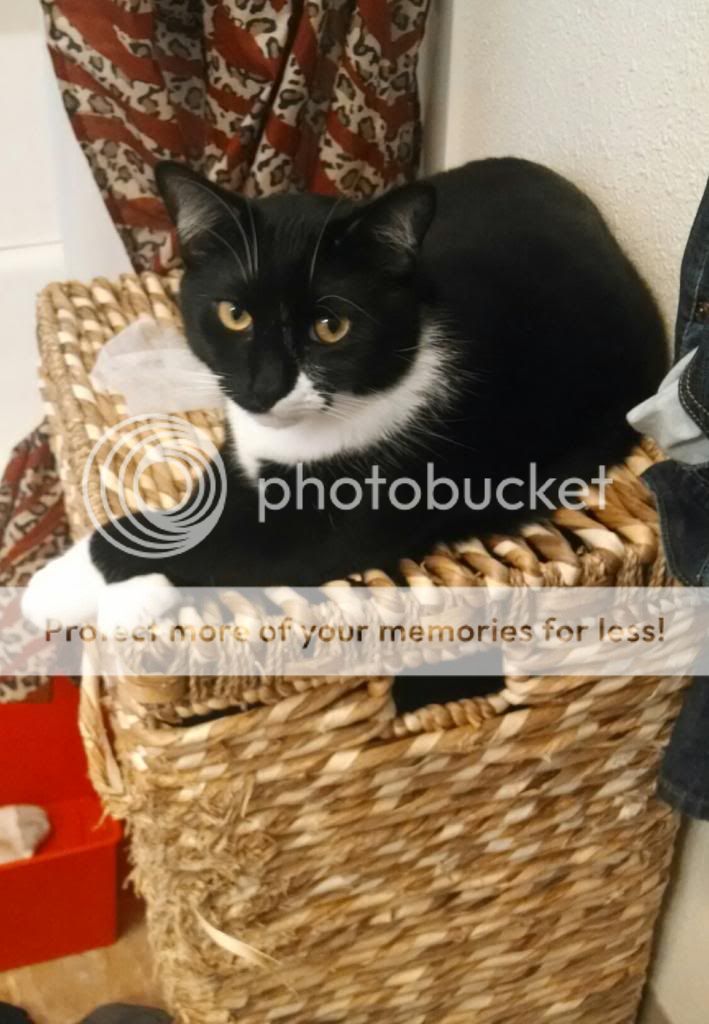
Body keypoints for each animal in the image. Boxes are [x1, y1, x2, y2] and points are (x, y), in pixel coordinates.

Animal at [23, 156, 666, 631]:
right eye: (233, 315)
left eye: (331, 327)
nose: (263, 387)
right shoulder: (243, 442)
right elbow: (205, 500)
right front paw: (111, 589)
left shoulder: (347, 514)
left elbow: (221, 542)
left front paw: (69, 589)